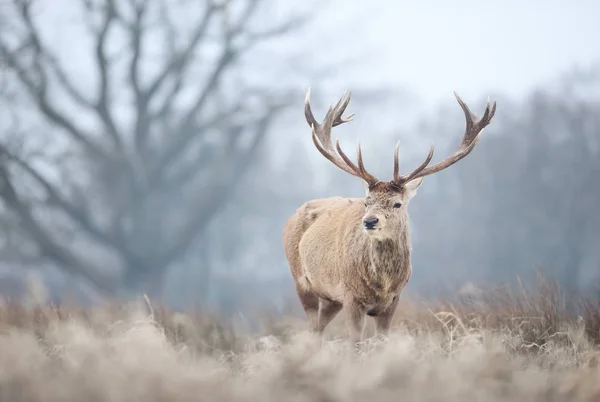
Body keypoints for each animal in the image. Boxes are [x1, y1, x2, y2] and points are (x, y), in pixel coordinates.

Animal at [282, 88, 496, 346]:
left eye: (397, 204)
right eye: (367, 202)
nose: (370, 221)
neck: (382, 286)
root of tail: (290, 218)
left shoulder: (392, 302)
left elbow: (382, 342)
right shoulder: (351, 297)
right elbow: (355, 344)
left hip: (331, 298)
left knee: (319, 328)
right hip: (301, 280)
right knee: (312, 325)